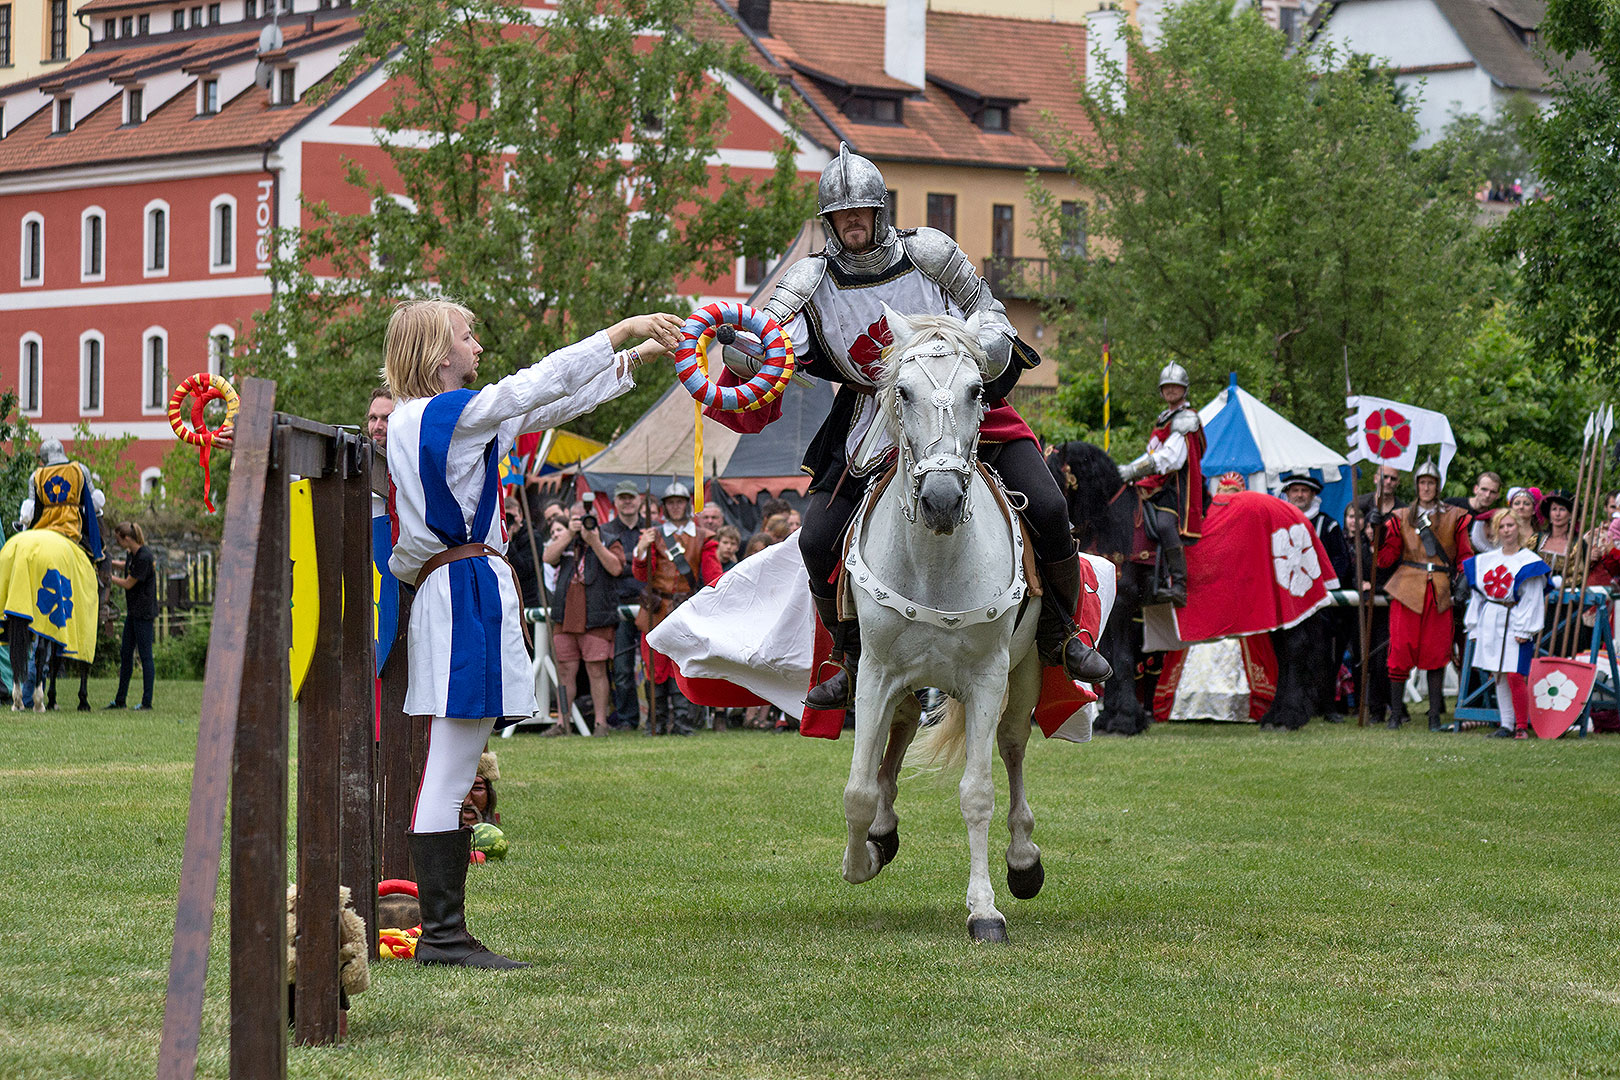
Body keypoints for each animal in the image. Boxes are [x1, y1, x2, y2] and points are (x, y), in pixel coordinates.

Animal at [842, 304, 1043, 945]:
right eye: (902, 391)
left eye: (978, 390)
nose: (941, 499)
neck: (934, 560)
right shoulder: (875, 673)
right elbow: (859, 787)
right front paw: (861, 860)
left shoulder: (987, 679)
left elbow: (978, 793)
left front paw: (984, 910)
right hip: (907, 683)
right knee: (897, 740)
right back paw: (882, 834)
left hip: (1023, 678)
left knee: (1012, 750)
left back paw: (1023, 860)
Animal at [1049, 440, 1315, 735]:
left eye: (1055, 472)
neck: (1112, 520)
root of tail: (1298, 515)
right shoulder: (1113, 607)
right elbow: (1109, 659)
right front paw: (1110, 718)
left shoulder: (1122, 606)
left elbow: (1122, 659)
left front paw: (1125, 720)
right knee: (1285, 653)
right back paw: (1280, 714)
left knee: (1294, 649)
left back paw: (1287, 716)